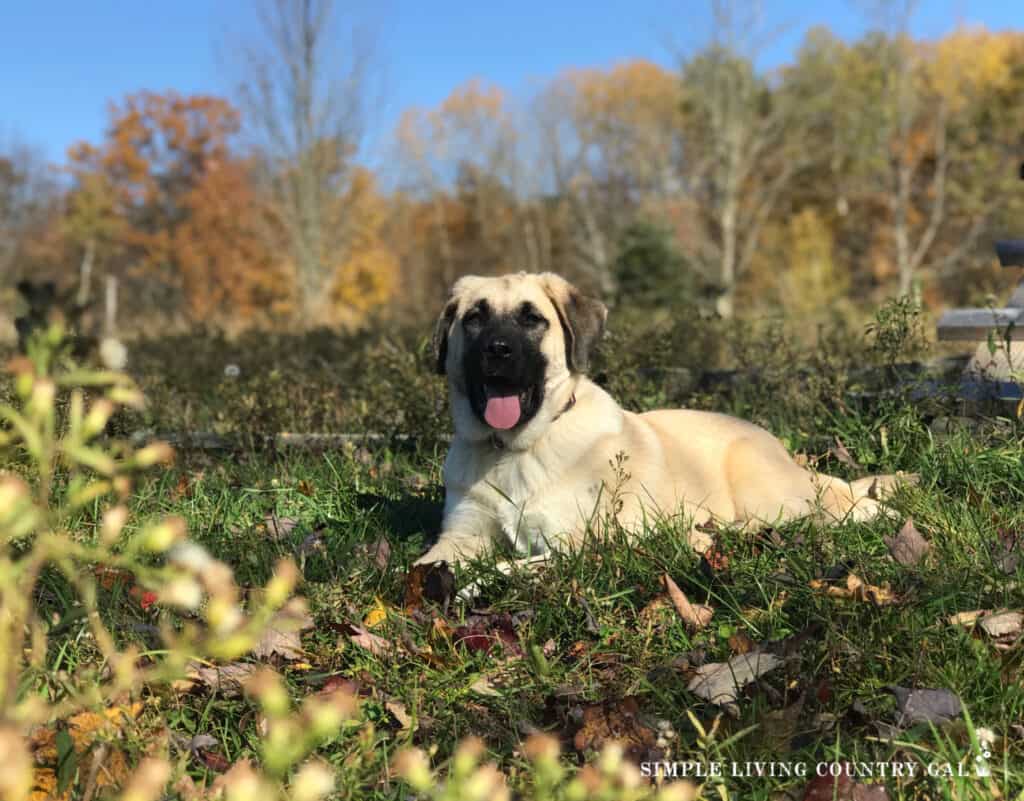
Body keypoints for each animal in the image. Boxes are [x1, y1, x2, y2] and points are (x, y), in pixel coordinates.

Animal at [415, 272, 913, 569]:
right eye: (474, 318)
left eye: (531, 319)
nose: (497, 350)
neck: (515, 449)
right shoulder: (461, 535)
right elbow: (424, 565)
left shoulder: (575, 542)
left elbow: (507, 565)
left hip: (759, 483)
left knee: (802, 518)